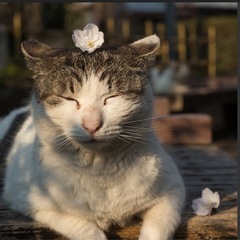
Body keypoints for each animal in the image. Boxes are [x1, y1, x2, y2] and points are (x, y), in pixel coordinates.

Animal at [0, 34, 186, 240]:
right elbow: (82, 226)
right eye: (70, 99)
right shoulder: (29, 201)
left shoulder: (173, 188)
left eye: (112, 97)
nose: (92, 124)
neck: (100, 170)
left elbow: (159, 227)